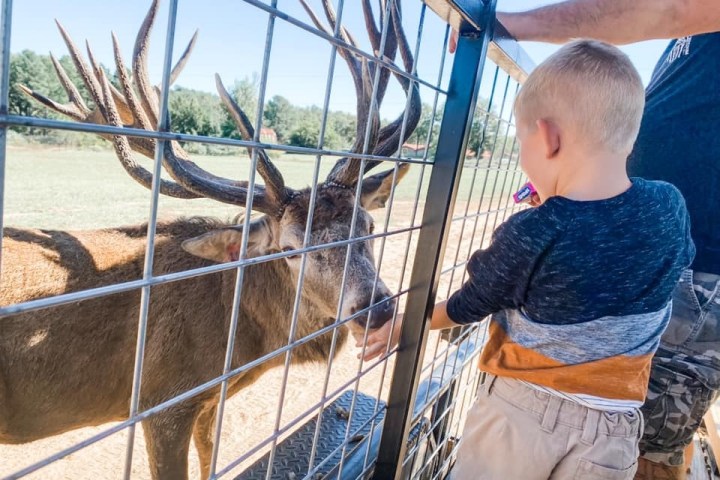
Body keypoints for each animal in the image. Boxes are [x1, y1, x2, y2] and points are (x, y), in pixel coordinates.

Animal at [2, 1, 420, 478]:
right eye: (290, 249)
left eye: (368, 225)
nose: (378, 307)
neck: (240, 339)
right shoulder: (162, 401)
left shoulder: (210, 400)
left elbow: (212, 457)